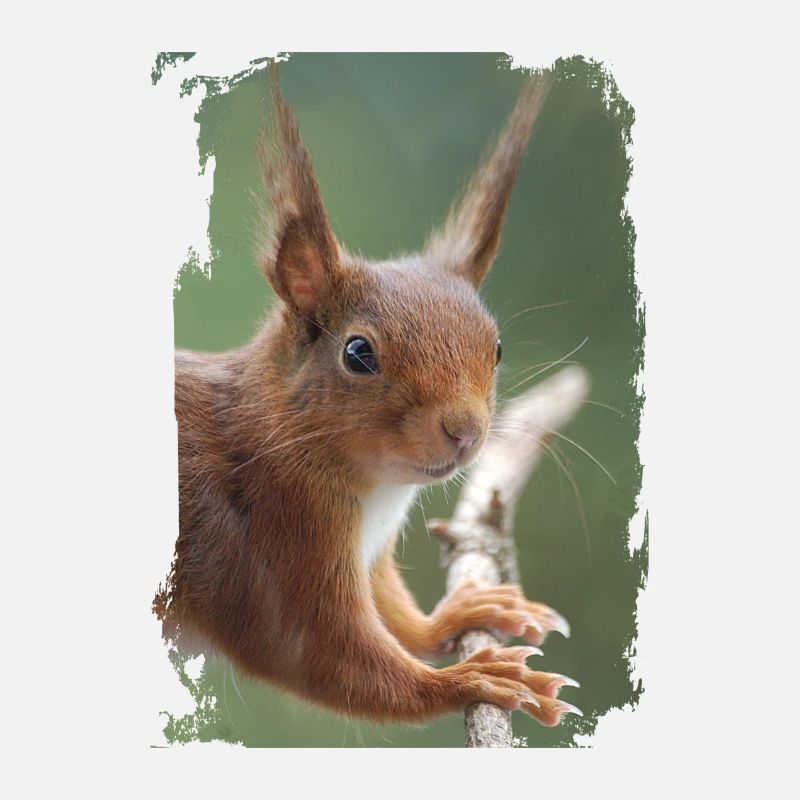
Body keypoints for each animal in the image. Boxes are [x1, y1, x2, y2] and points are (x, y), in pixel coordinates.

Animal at [155, 63, 581, 728]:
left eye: (497, 348)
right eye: (358, 354)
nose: (464, 432)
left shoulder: (369, 552)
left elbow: (396, 617)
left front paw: (465, 613)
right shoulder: (275, 542)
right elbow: (322, 656)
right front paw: (471, 679)